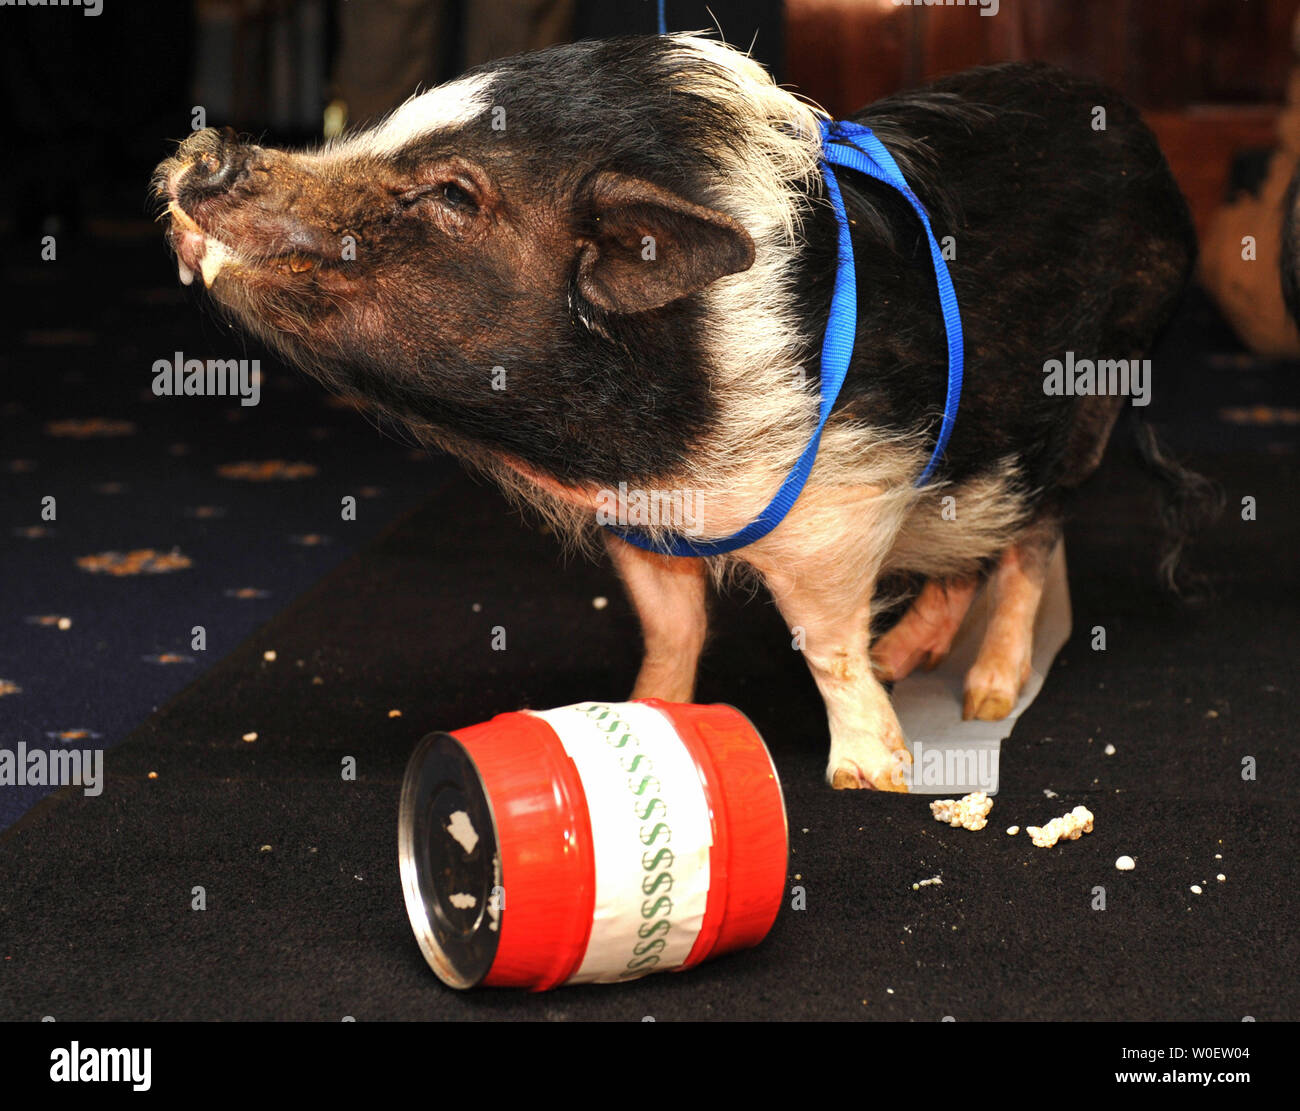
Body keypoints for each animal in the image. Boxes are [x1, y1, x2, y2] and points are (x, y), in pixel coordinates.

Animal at [152, 32, 1206, 790]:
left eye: (453, 192)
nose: (205, 152)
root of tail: (1149, 148)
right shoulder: (642, 522)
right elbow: (671, 627)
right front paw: (637, 712)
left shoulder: (840, 509)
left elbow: (827, 643)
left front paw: (870, 774)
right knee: (967, 552)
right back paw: (912, 656)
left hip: (1088, 404)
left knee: (1031, 543)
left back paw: (984, 700)